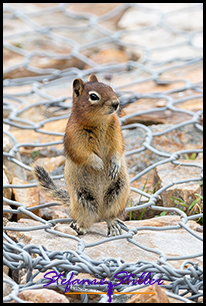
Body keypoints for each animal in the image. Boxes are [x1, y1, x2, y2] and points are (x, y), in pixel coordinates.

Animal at [33, 74, 130, 237]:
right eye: (93, 96)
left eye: (110, 88)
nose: (116, 103)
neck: (100, 121)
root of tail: (100, 212)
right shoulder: (74, 138)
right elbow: (83, 154)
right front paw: (99, 164)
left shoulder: (116, 131)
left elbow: (118, 148)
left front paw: (115, 163)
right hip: (82, 200)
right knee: (86, 219)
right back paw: (79, 227)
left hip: (119, 192)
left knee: (109, 216)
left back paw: (113, 225)